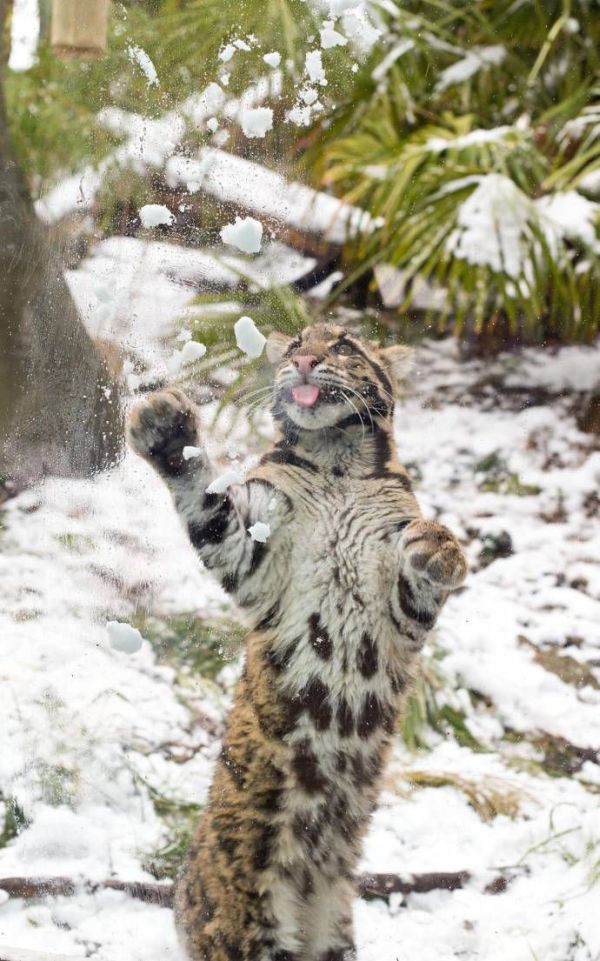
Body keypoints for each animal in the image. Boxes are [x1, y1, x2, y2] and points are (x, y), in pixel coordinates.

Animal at [129, 324, 466, 960]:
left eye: (343, 346)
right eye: (293, 348)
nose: (305, 360)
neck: (337, 461)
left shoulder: (400, 616)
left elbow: (420, 574)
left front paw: (439, 548)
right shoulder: (254, 560)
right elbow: (208, 505)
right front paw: (168, 432)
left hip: (333, 938)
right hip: (248, 929)